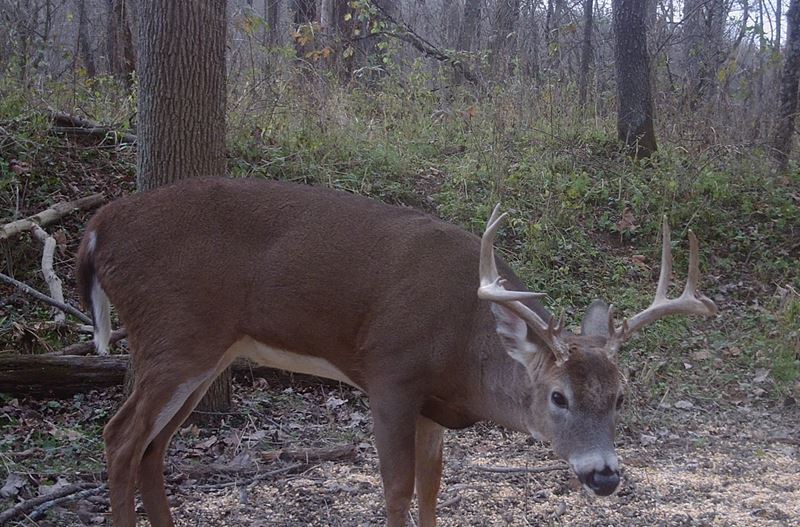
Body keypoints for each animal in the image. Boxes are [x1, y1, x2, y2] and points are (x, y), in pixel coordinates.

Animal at [76, 177, 718, 527]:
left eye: (620, 396)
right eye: (557, 396)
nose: (604, 475)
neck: (464, 348)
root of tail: (98, 225)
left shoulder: (433, 405)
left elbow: (432, 488)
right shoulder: (389, 377)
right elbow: (396, 489)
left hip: (203, 352)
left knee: (153, 447)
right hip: (174, 334)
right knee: (120, 437)